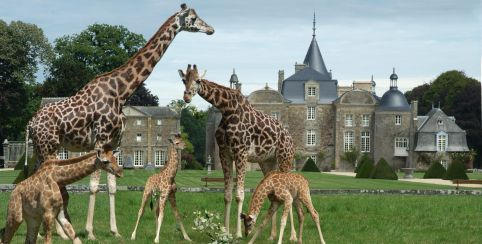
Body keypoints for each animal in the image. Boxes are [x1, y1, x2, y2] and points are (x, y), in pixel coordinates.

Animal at [25, 3, 213, 240]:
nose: (211, 29)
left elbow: (112, 186)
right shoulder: (100, 140)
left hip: (45, 148)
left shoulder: (114, 144)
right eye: (193, 18)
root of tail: (31, 123)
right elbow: (94, 185)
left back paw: (46, 231)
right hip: (47, 147)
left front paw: (115, 231)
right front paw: (90, 232)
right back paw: (58, 231)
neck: (120, 92)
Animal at [177, 64, 298, 238]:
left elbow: (239, 195)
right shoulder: (224, 154)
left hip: (285, 159)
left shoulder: (241, 153)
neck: (227, 110)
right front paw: (225, 231)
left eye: (198, 80)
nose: (186, 97)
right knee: (274, 196)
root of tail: (290, 137)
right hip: (268, 162)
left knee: (290, 192)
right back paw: (272, 235)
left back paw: (293, 236)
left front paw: (239, 234)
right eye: (183, 80)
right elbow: (227, 195)